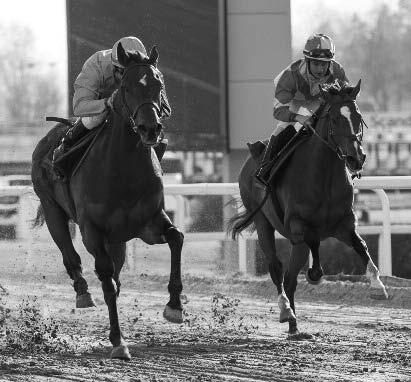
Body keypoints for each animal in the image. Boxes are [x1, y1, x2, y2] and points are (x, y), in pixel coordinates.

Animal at [33, 43, 184, 360]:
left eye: (159, 84)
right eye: (126, 87)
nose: (150, 129)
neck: (122, 171)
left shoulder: (149, 224)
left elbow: (177, 237)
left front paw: (174, 306)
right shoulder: (93, 232)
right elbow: (105, 277)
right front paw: (118, 341)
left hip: (119, 239)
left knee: (116, 272)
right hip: (53, 211)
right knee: (70, 255)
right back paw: (82, 291)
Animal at [230, 80, 388, 338]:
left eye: (358, 116)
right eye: (334, 118)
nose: (356, 158)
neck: (324, 177)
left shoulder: (344, 225)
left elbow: (362, 247)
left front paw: (378, 286)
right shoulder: (298, 227)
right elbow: (294, 265)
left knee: (295, 272)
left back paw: (297, 317)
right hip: (263, 220)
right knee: (279, 270)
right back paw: (287, 312)